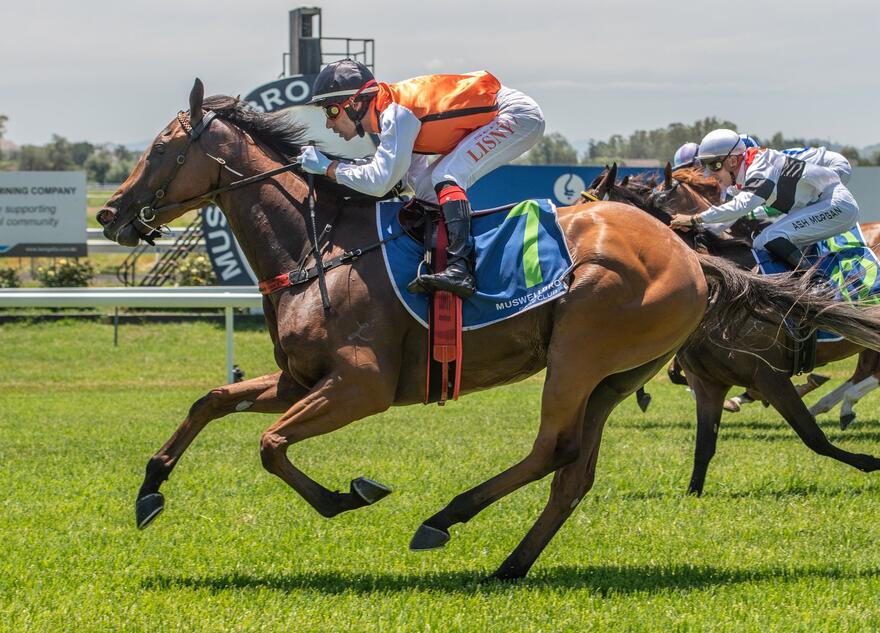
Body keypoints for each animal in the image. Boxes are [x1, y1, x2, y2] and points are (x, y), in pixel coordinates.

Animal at [97, 79, 880, 578]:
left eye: (164, 149)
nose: (110, 213)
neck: (318, 247)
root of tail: (688, 251)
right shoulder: (299, 377)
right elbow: (211, 401)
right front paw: (150, 488)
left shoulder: (360, 385)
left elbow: (269, 444)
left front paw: (350, 493)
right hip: (616, 373)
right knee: (574, 470)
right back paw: (510, 562)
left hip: (579, 352)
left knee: (551, 450)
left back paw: (446, 517)